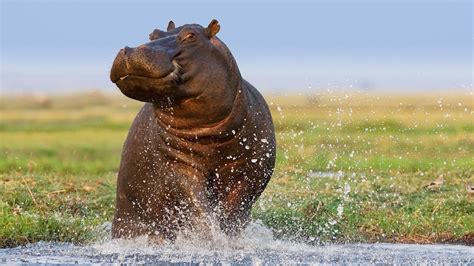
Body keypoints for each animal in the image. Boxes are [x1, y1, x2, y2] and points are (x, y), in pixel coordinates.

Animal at [109, 19, 276, 241]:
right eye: (152, 34)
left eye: (191, 35)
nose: (132, 50)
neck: (211, 137)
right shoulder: (179, 166)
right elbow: (199, 206)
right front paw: (210, 238)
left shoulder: (249, 169)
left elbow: (234, 210)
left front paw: (229, 238)